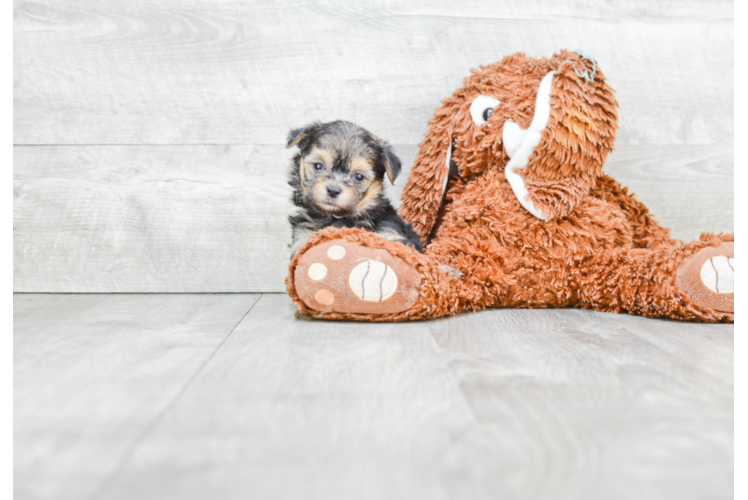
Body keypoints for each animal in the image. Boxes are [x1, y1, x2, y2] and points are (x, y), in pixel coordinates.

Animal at [286, 119, 424, 256]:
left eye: (358, 176)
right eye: (318, 166)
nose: (333, 190)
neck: (337, 218)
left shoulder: (390, 234)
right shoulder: (303, 237)